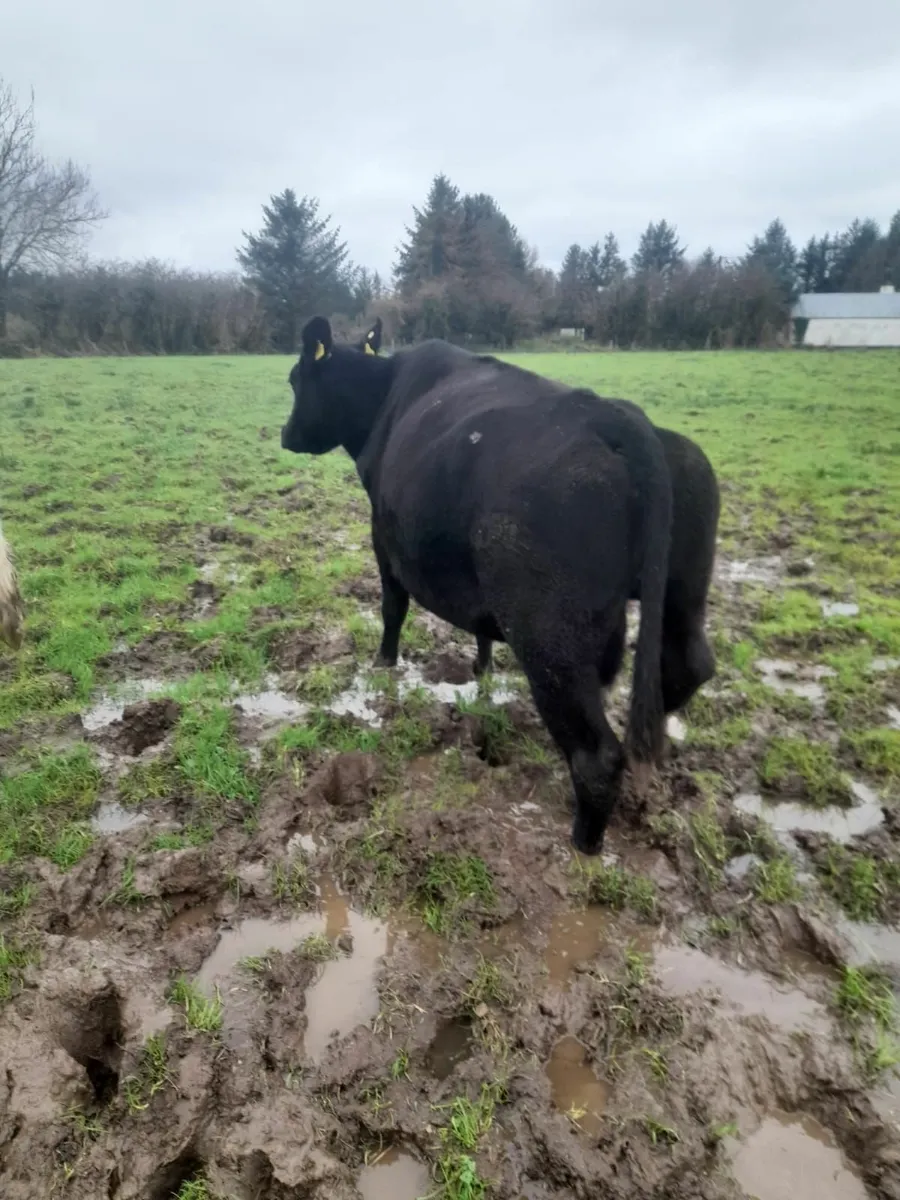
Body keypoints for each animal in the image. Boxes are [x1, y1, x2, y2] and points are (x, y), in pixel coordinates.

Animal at [281, 317, 674, 855]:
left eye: (294, 379)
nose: (285, 434)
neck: (383, 397)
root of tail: (610, 419)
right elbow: (480, 629)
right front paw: (482, 671)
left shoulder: (383, 536)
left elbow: (391, 607)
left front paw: (383, 664)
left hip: (550, 640)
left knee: (597, 755)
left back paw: (582, 847)